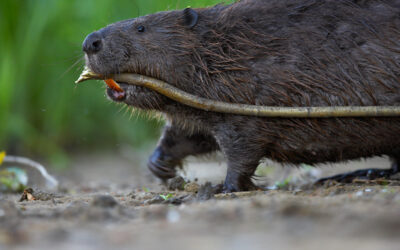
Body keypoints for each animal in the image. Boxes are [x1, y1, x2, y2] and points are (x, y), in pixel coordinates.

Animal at [81, 0, 400, 191]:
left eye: (141, 27)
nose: (89, 42)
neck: (223, 50)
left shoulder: (247, 103)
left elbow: (242, 149)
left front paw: (224, 187)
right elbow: (189, 135)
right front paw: (159, 166)